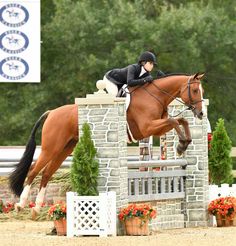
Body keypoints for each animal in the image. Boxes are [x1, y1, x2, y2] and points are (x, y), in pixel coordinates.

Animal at [9, 72, 205, 216]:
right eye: (195, 90)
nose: (201, 113)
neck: (155, 96)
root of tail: (51, 112)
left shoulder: (155, 129)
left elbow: (180, 121)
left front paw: (184, 143)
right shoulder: (148, 127)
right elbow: (174, 121)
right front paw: (181, 145)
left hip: (65, 149)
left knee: (47, 173)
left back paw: (36, 208)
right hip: (51, 147)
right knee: (34, 171)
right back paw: (21, 204)